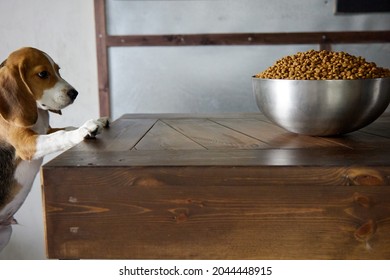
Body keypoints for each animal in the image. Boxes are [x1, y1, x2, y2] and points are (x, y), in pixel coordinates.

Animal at [0, 47, 107, 250]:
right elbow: (60, 136)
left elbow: (66, 128)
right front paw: (84, 129)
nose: (75, 93)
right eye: (43, 74)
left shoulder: (45, 130)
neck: (37, 111)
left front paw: (96, 123)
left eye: (58, 69)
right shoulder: (27, 143)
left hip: (6, 232)